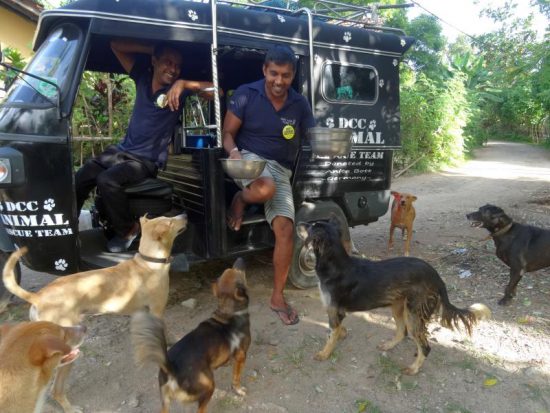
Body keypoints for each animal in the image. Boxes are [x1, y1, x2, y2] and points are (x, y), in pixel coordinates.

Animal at [1, 212, 188, 412]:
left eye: (167, 216)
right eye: (170, 222)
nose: (185, 214)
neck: (148, 262)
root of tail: (37, 297)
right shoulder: (157, 310)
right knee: (55, 389)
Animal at [130, 258, 251, 412]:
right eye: (238, 272)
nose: (240, 259)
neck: (229, 313)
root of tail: (171, 368)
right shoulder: (241, 356)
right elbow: (236, 378)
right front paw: (239, 390)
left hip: (165, 402)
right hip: (209, 386)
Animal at [298, 217, 492, 374]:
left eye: (311, 226)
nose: (298, 222)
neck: (335, 264)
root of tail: (436, 276)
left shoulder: (334, 310)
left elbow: (331, 335)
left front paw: (324, 353)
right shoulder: (336, 312)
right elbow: (337, 329)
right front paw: (341, 334)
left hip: (414, 314)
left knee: (425, 346)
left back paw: (413, 369)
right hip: (398, 306)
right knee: (401, 331)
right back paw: (389, 345)